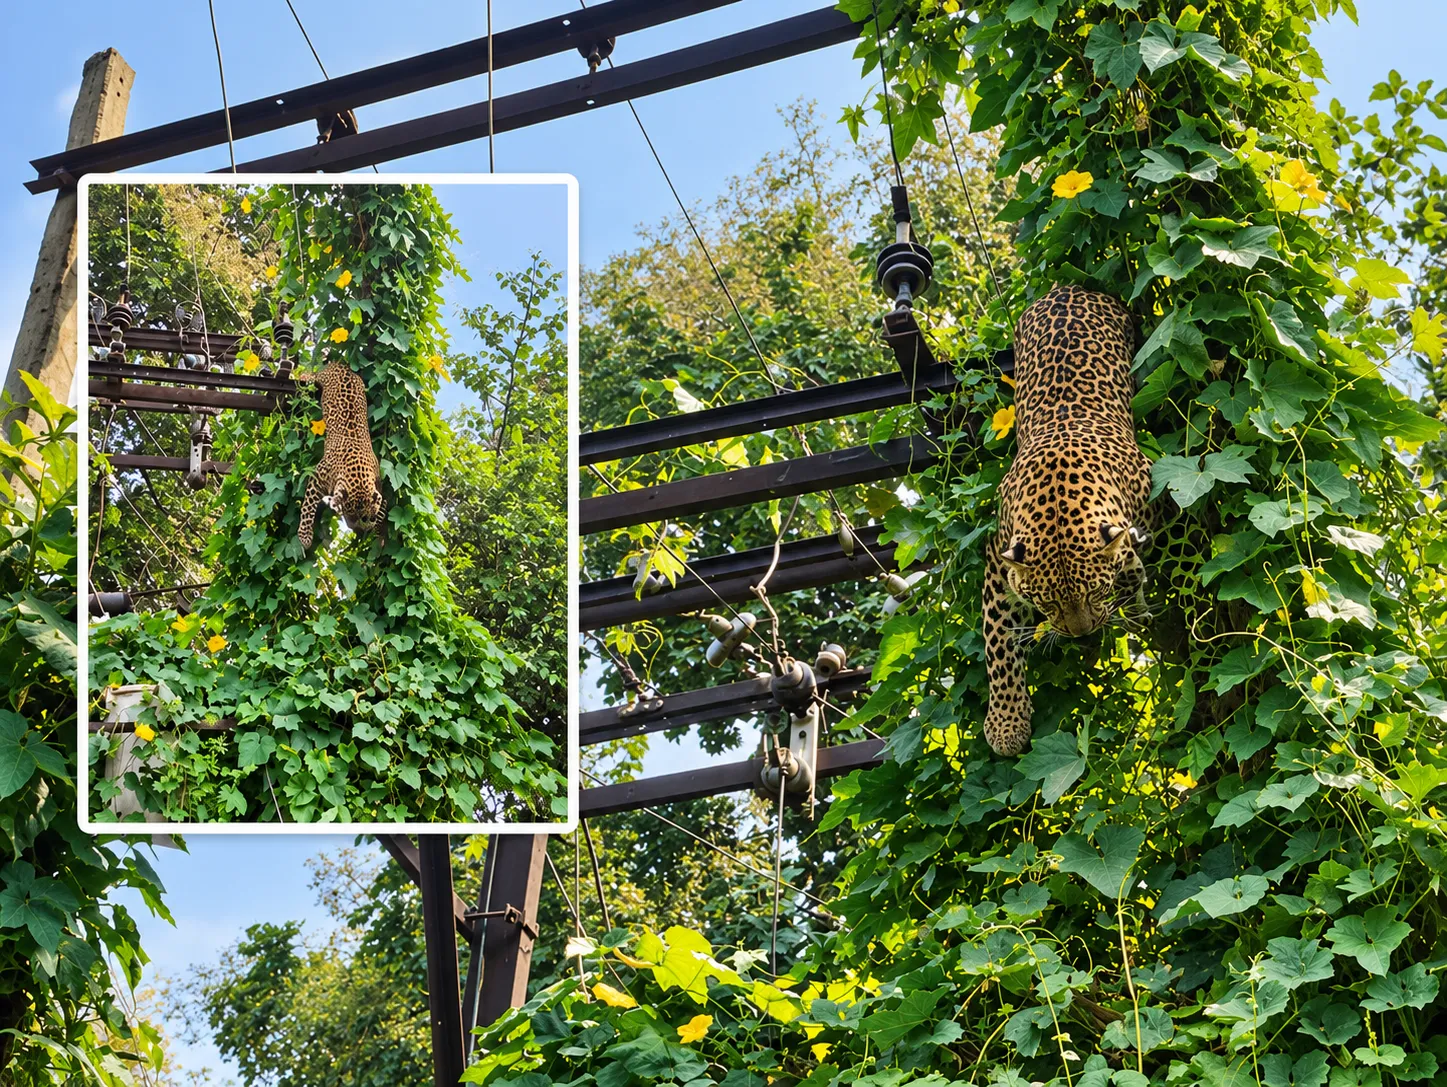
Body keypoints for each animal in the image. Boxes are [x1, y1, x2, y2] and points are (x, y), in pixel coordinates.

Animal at [294, 357, 385, 550]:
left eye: (366, 517)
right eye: (348, 514)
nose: (355, 528)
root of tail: (343, 365)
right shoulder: (316, 479)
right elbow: (307, 506)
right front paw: (305, 537)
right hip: (321, 378)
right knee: (312, 376)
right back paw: (303, 375)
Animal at [981, 284, 1156, 757]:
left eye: (1094, 591)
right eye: (1047, 604)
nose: (1081, 635)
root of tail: (1069, 288)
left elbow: (1131, 568)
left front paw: (1133, 605)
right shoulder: (999, 558)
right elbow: (997, 640)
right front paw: (1006, 724)